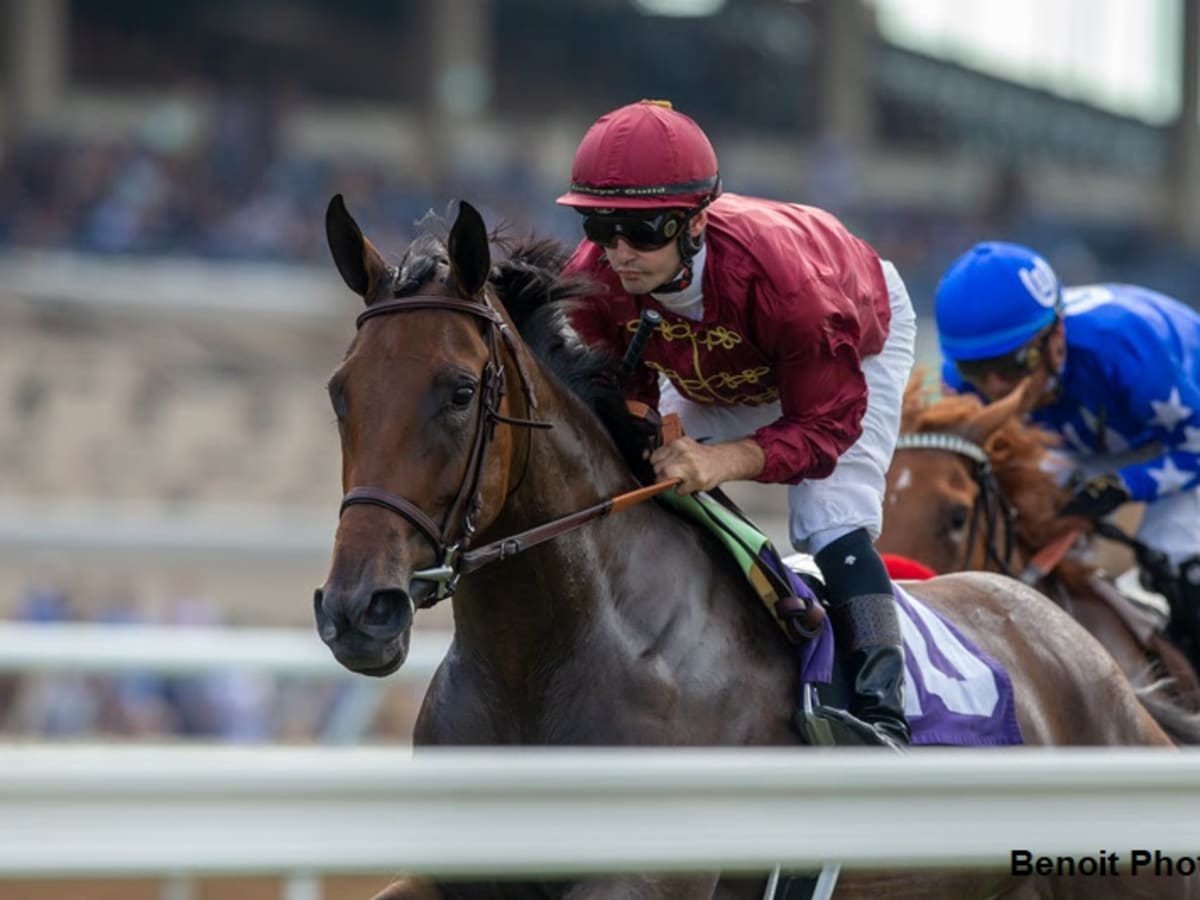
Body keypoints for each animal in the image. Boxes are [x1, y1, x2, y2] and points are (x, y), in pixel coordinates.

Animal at [314, 195, 1199, 900]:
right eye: (340, 393)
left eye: (461, 392)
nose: (358, 610)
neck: (545, 651)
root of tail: (1097, 667)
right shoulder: (460, 871)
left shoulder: (644, 877)